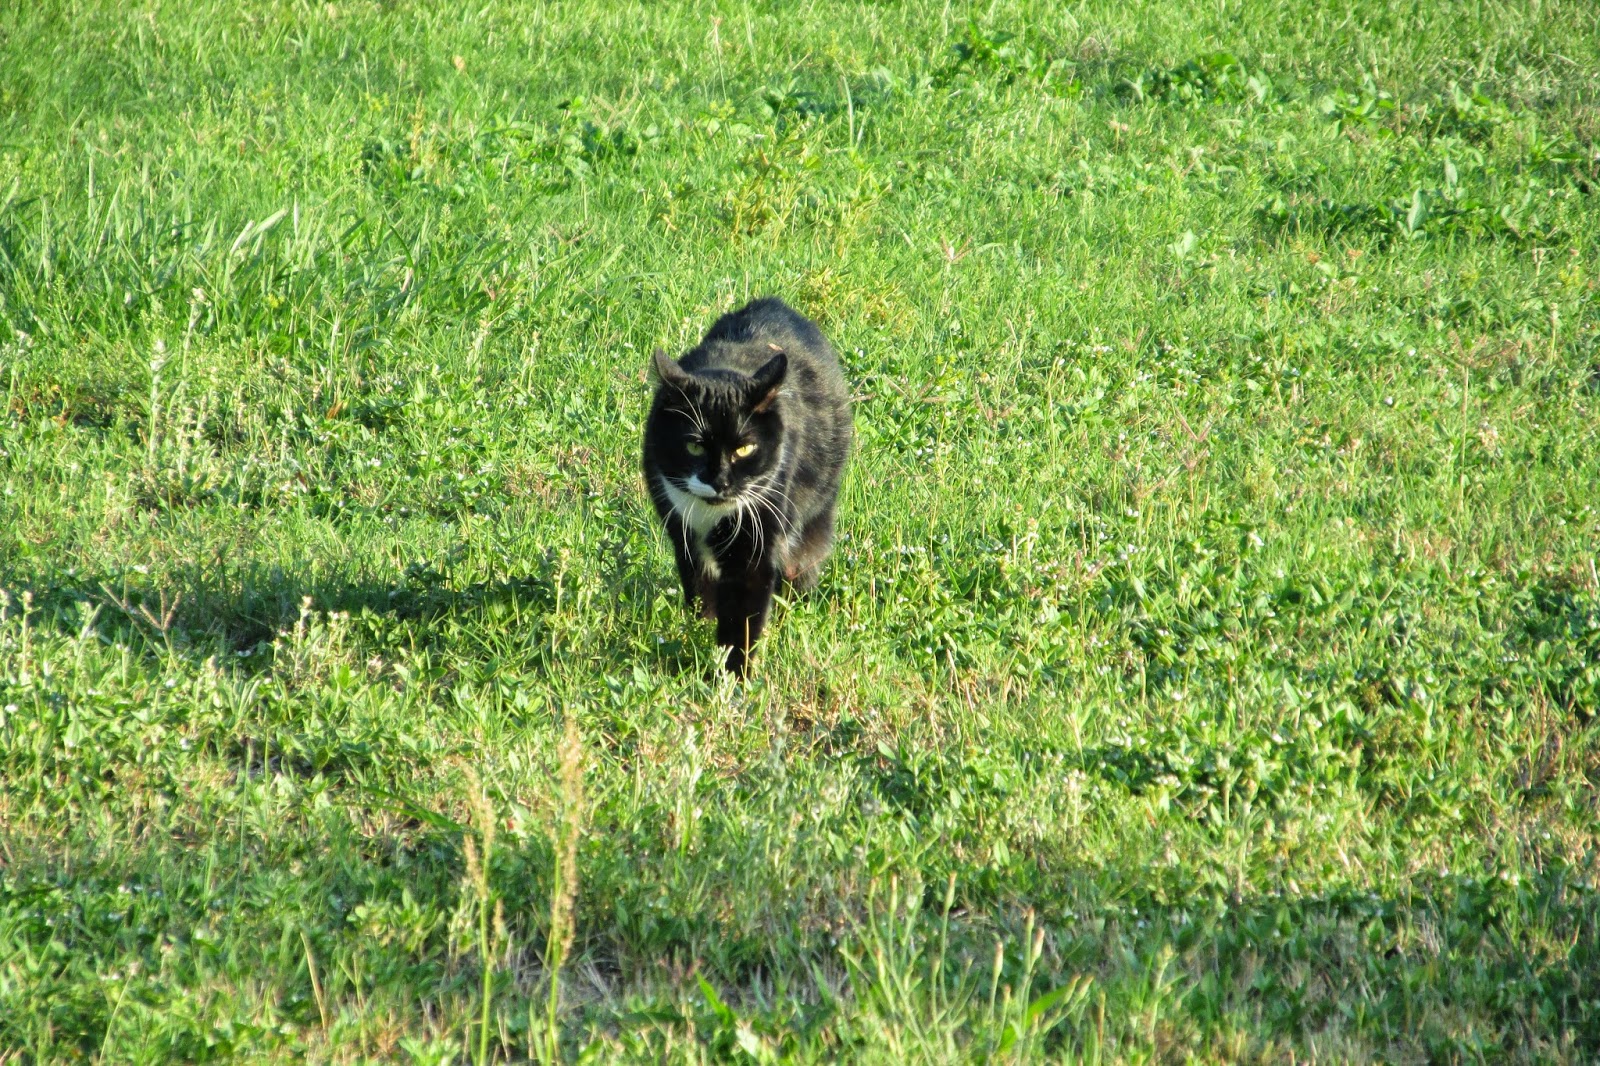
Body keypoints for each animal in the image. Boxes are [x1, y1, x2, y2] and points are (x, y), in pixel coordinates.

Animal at [642, 297, 853, 675]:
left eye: (744, 448)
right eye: (694, 446)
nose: (720, 482)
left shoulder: (757, 531)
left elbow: (743, 611)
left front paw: (732, 676)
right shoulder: (681, 532)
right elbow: (699, 585)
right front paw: (699, 630)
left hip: (816, 512)